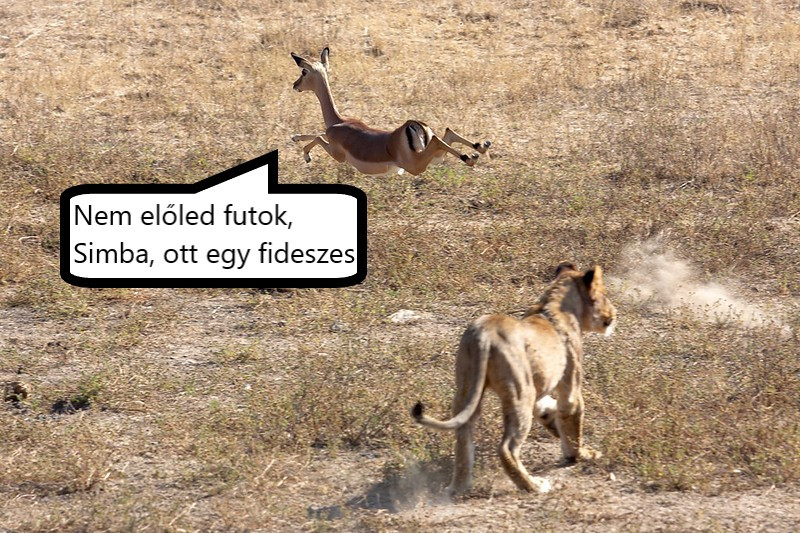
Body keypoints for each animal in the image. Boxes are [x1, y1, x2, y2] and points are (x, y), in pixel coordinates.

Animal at [290, 47, 491, 176]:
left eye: (303, 72)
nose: (295, 85)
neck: (338, 121)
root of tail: (415, 125)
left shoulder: (336, 154)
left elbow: (318, 136)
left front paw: (306, 155)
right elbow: (317, 134)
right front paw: (295, 137)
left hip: (417, 165)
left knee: (438, 140)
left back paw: (470, 157)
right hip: (434, 157)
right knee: (447, 133)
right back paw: (480, 148)